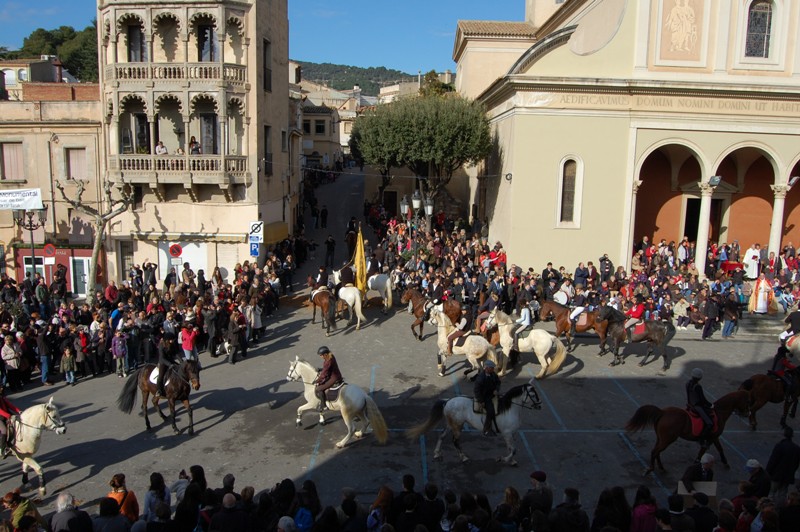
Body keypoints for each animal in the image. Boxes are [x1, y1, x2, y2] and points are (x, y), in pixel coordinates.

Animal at [406, 380, 544, 464]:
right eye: (532, 394)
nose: (539, 406)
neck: (510, 408)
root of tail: (447, 401)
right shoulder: (507, 433)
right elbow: (513, 449)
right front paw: (503, 459)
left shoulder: (511, 434)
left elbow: (511, 447)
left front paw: (511, 460)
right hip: (458, 426)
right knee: (455, 441)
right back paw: (463, 457)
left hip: (451, 425)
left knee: (442, 436)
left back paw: (436, 454)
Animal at [624, 390, 752, 474]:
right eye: (747, 401)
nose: (748, 413)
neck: (719, 412)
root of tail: (663, 412)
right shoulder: (711, 438)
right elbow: (702, 452)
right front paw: (698, 464)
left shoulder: (714, 437)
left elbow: (719, 448)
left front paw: (725, 462)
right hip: (668, 439)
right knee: (655, 451)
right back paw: (651, 468)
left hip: (661, 438)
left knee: (657, 452)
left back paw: (661, 467)